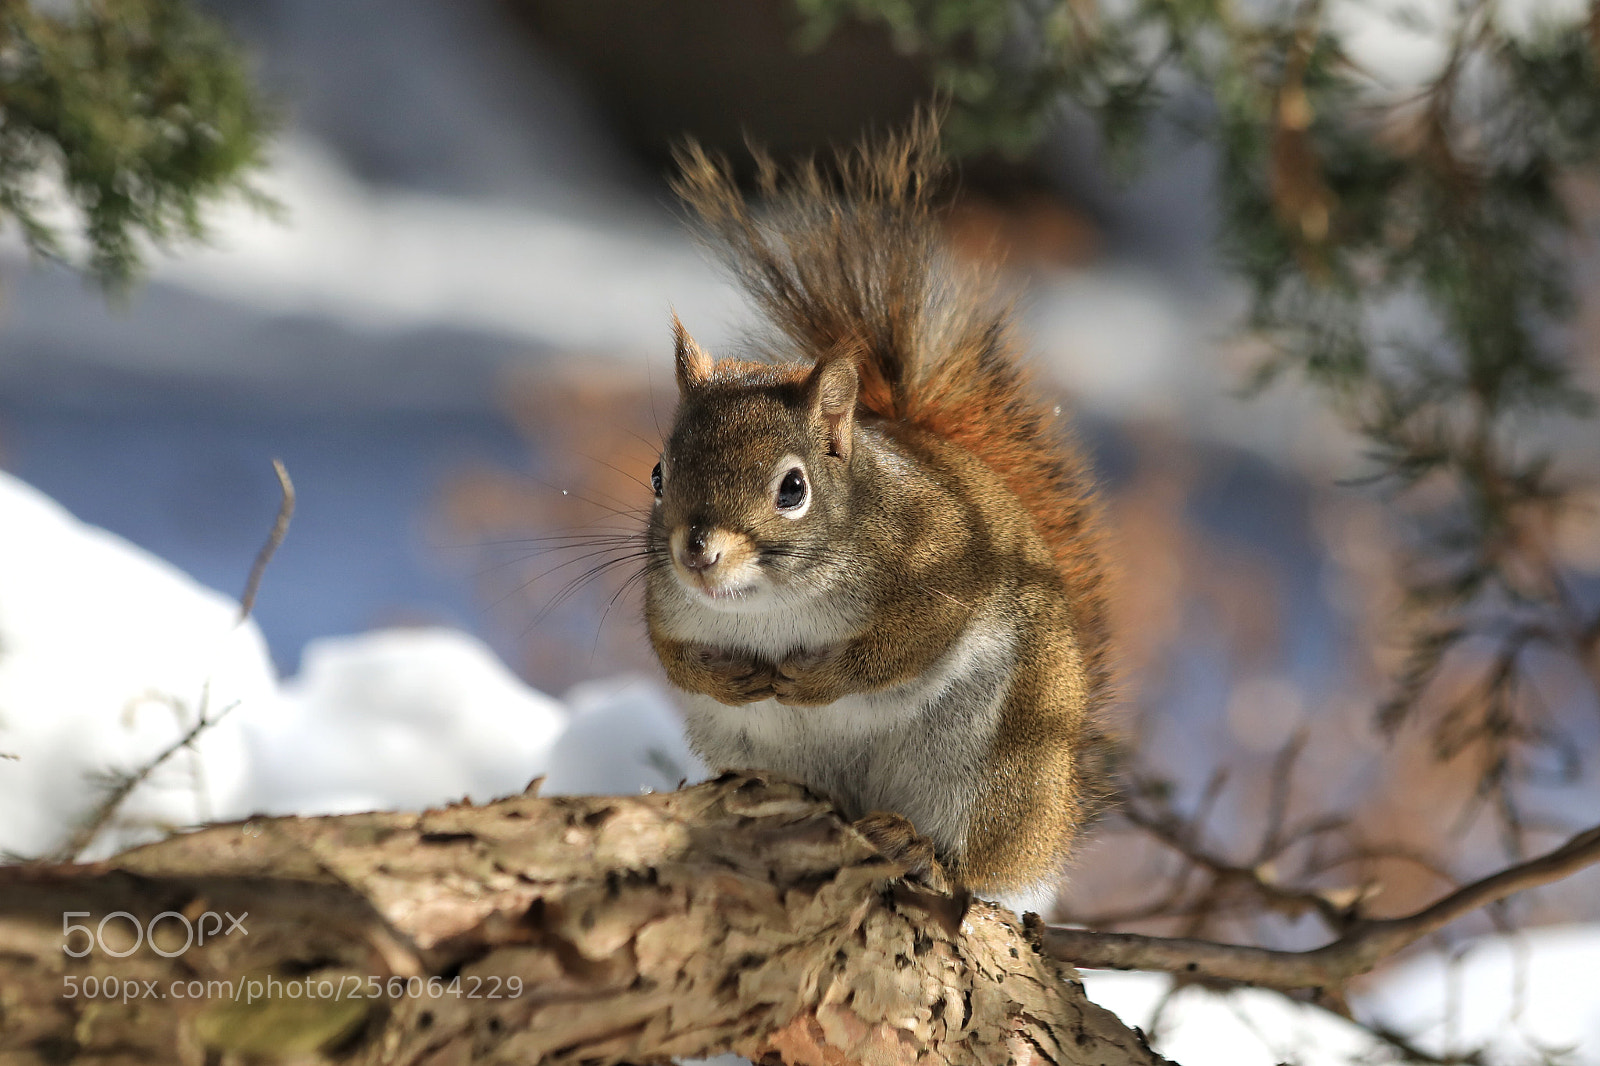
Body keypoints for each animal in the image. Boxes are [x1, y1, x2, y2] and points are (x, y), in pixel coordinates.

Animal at [642, 118, 1112, 896]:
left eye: (792, 489)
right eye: (658, 474)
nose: (696, 552)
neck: (770, 605)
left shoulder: (941, 567)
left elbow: (902, 646)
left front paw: (817, 678)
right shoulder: (666, 607)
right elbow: (672, 657)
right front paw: (725, 676)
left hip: (992, 769)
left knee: (978, 859)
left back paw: (921, 848)